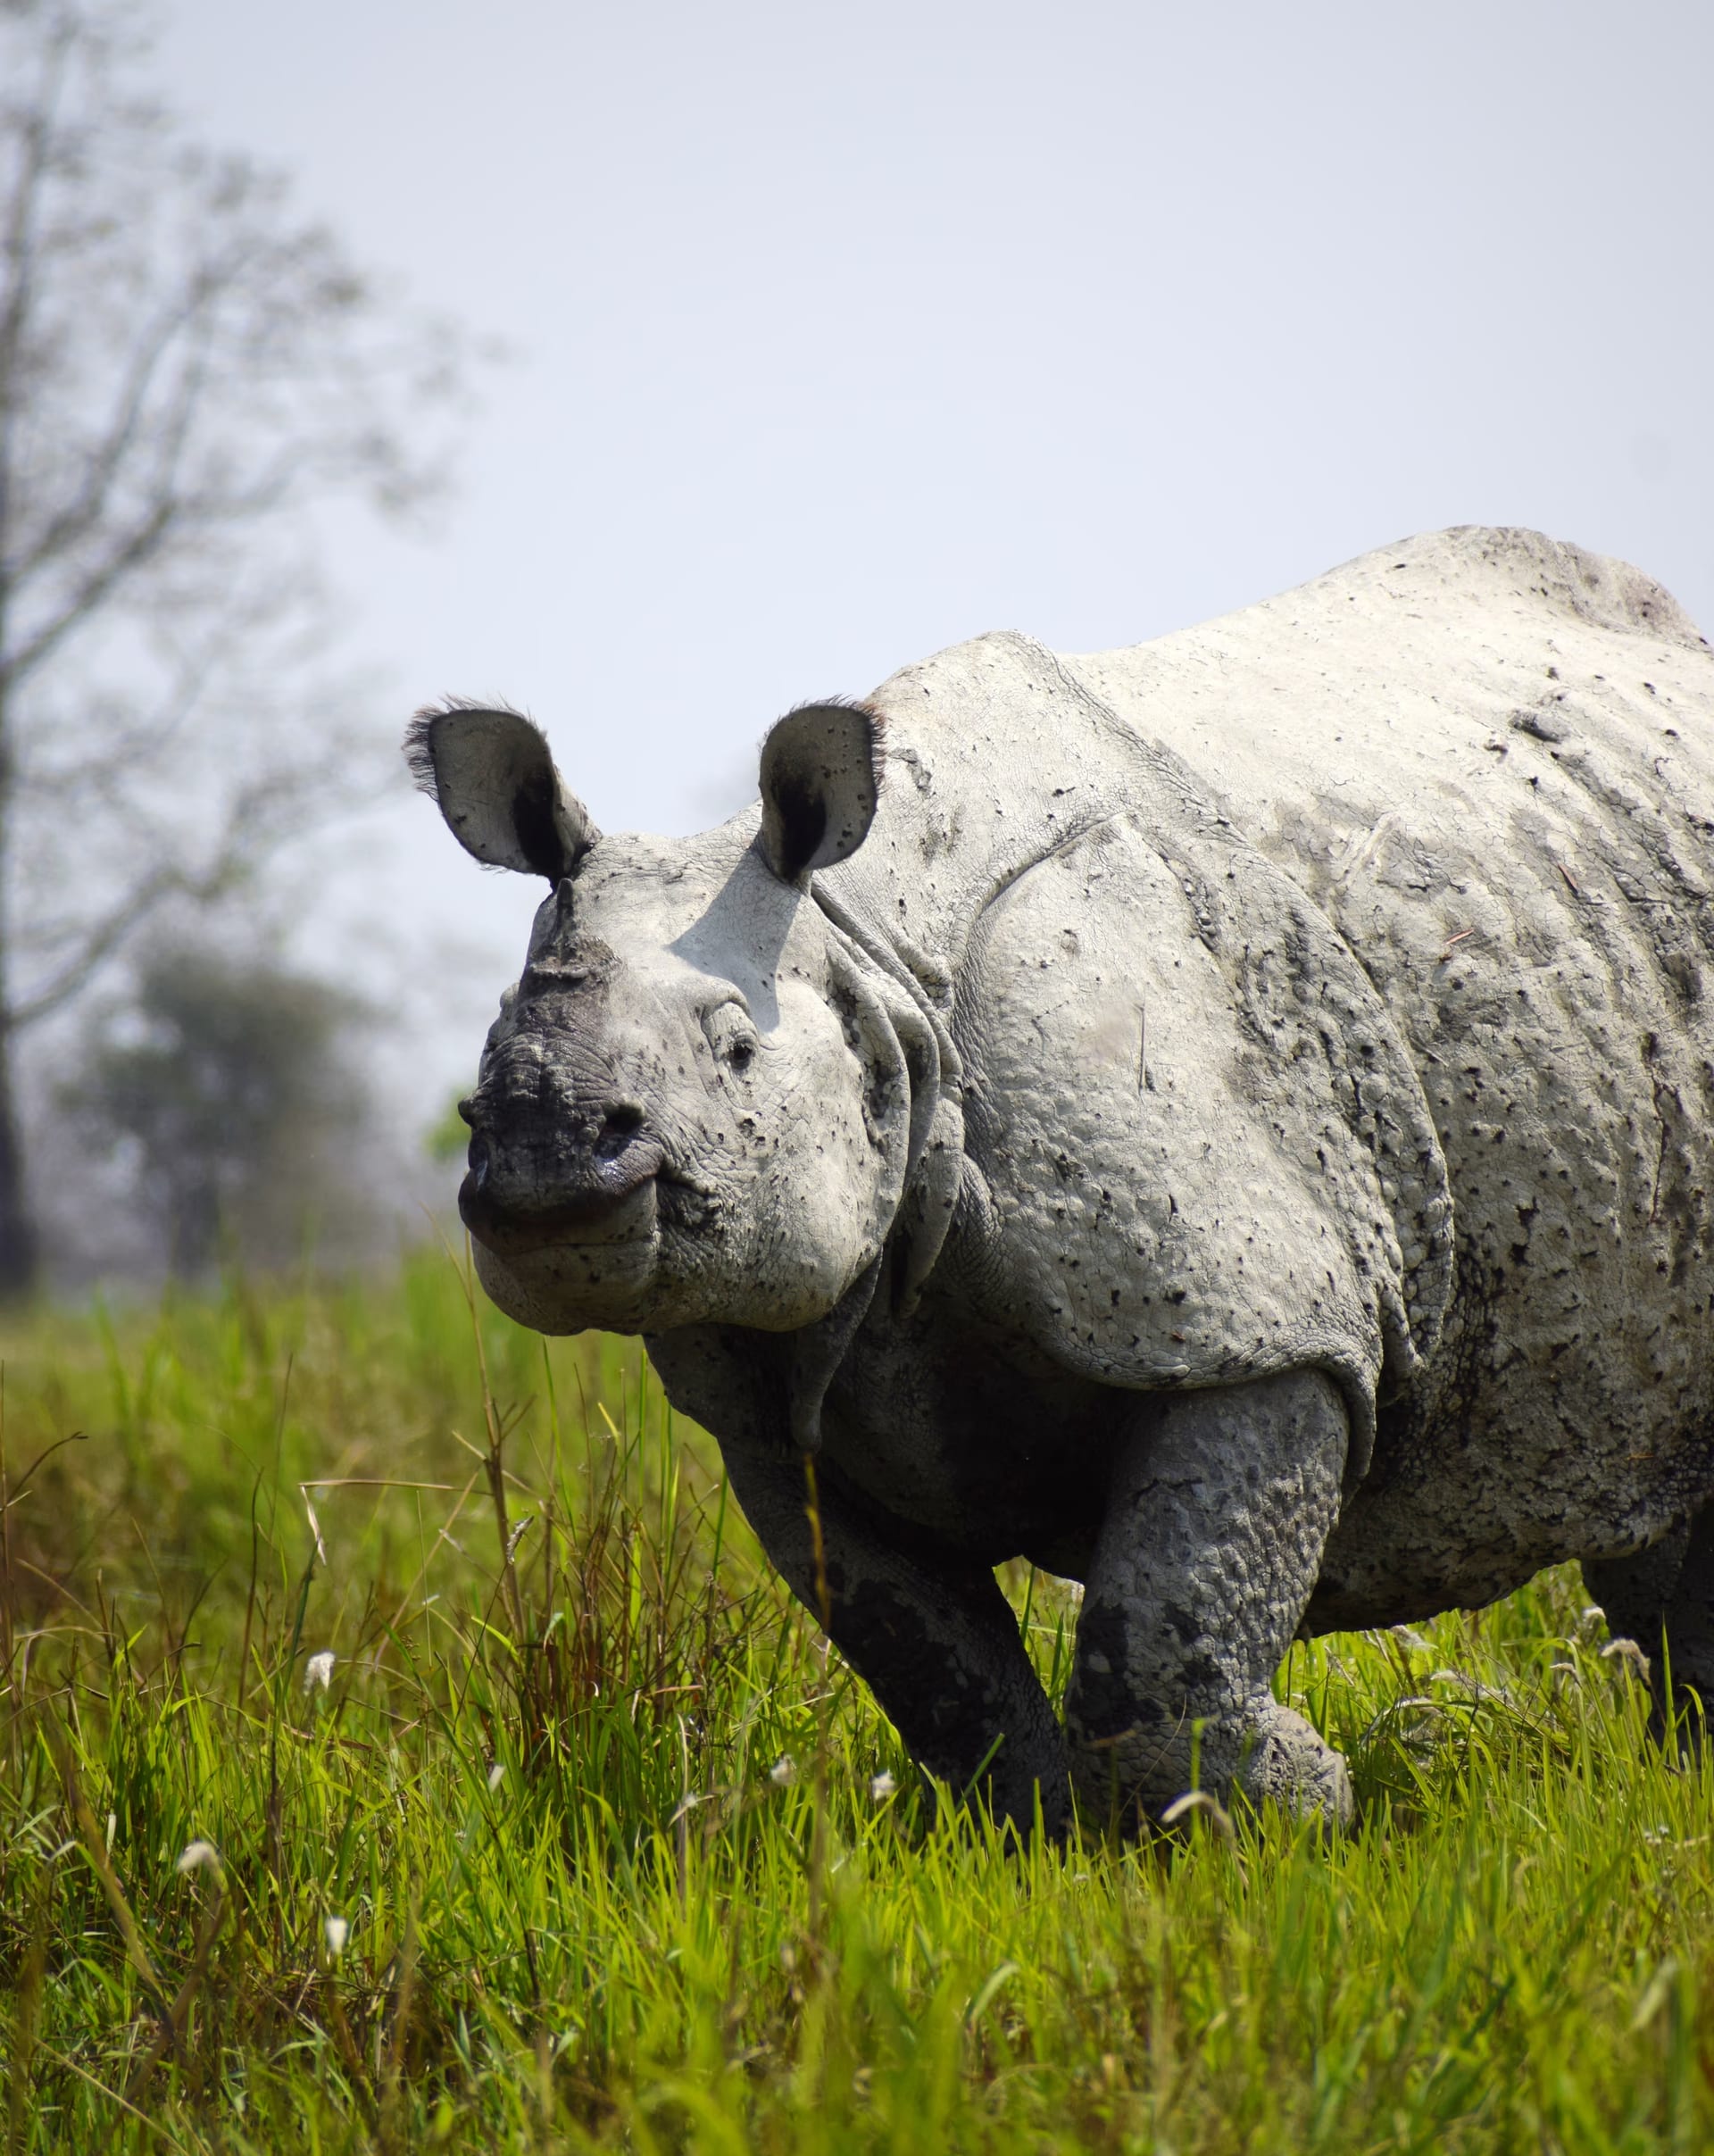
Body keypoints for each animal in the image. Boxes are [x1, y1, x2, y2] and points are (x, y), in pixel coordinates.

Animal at [407, 525, 1714, 1833]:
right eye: (490, 1046)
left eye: (734, 1044)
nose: (549, 1167)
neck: (869, 959)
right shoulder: (779, 1404)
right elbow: (941, 1680)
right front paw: (1049, 1841)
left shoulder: (1263, 1308)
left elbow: (1165, 1653)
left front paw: (1308, 1808)